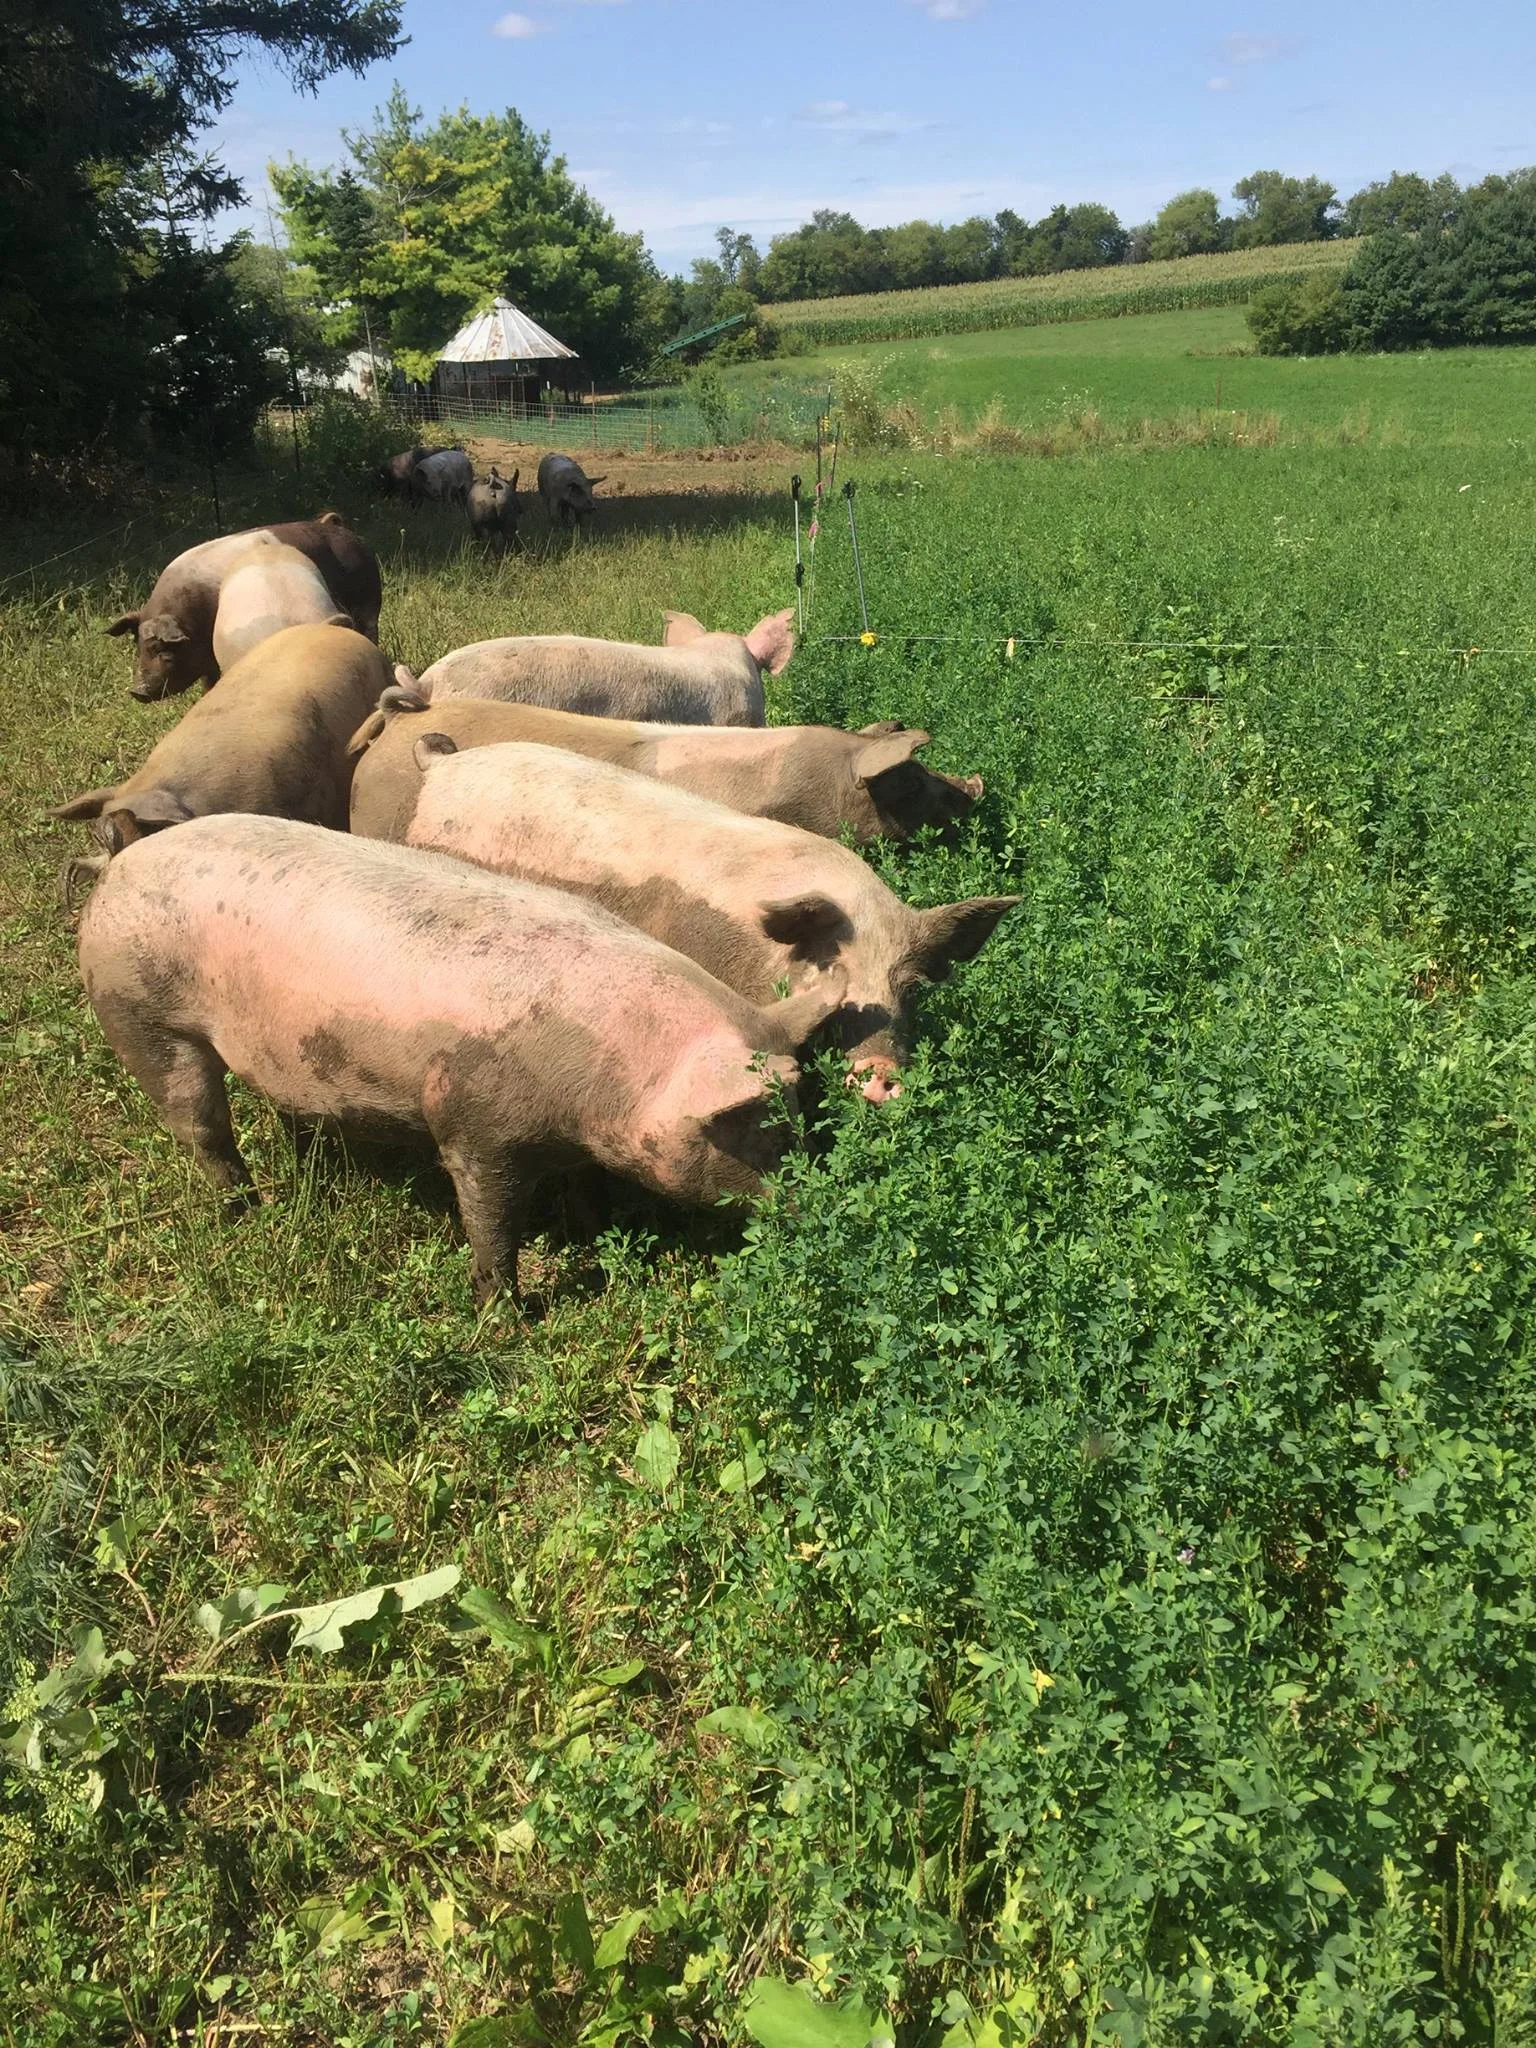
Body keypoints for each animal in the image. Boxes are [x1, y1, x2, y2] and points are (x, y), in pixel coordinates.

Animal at [77, 814, 845, 1300]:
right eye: (758, 1132)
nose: (823, 1200)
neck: (607, 1083)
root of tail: (116, 865)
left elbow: (584, 1190)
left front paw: (595, 1234)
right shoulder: (471, 1119)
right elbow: (490, 1222)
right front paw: (502, 1315)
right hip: (135, 1009)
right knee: (199, 1124)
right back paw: (245, 1211)